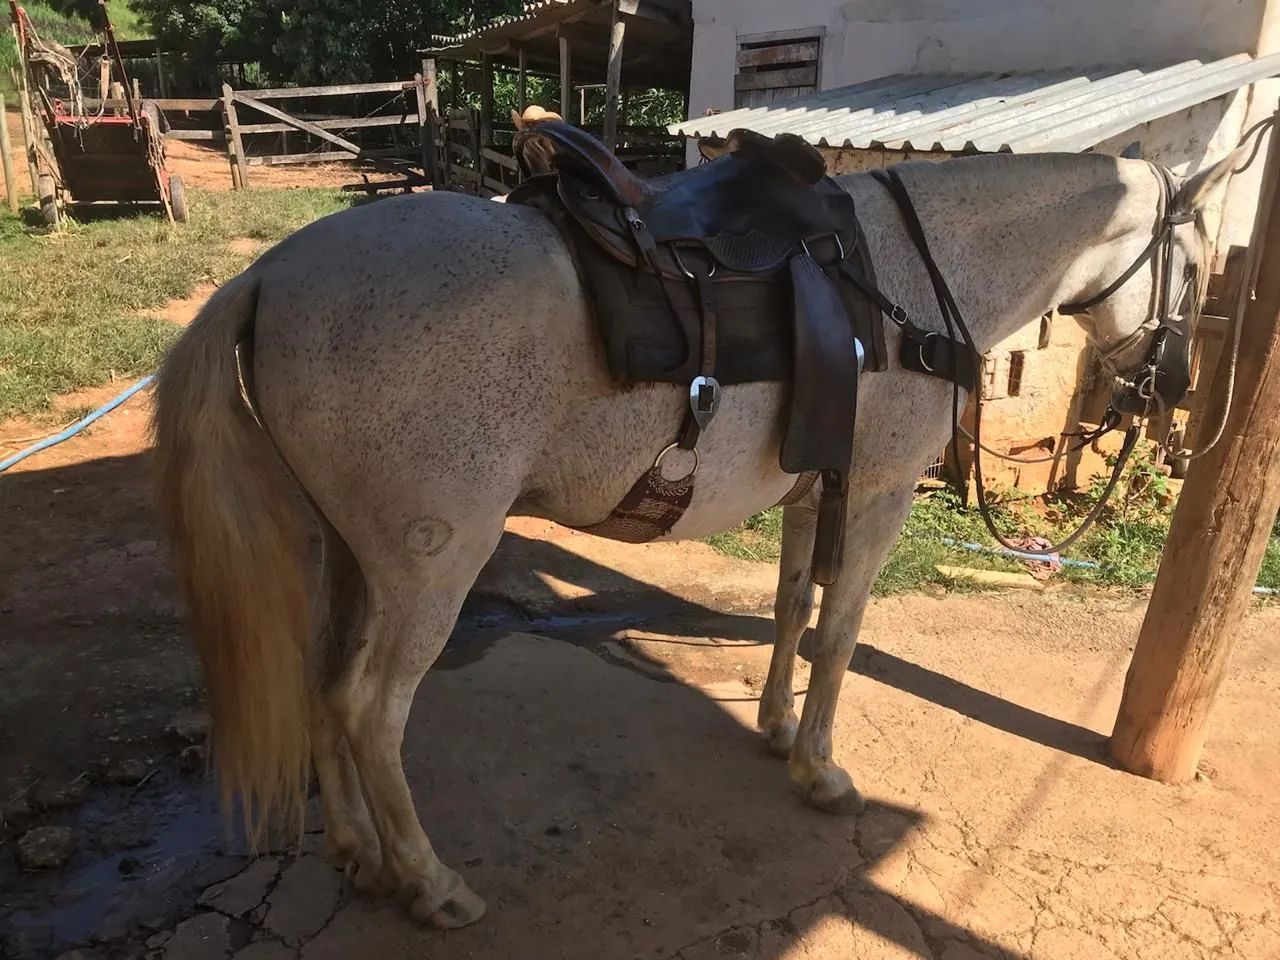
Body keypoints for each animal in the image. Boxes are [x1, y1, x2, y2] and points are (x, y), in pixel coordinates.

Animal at [152, 140, 1233, 929]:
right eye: (1197, 262)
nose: (1173, 387)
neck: (910, 282)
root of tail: (272, 275)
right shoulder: (876, 493)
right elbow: (841, 633)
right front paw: (819, 771)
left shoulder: (811, 487)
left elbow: (792, 609)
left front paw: (775, 728)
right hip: (431, 566)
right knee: (372, 709)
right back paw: (428, 882)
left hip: (349, 555)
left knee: (323, 686)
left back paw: (359, 855)